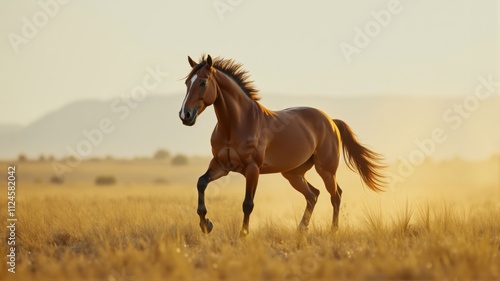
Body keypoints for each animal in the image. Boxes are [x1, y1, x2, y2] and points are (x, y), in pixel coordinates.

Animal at [180, 54, 386, 236]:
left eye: (203, 82)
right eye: (187, 83)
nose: (185, 115)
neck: (236, 124)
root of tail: (331, 121)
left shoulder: (252, 169)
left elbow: (248, 203)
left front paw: (243, 234)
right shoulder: (221, 165)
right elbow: (201, 183)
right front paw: (206, 225)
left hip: (326, 170)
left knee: (335, 195)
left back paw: (333, 231)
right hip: (293, 174)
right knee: (313, 194)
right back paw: (301, 228)